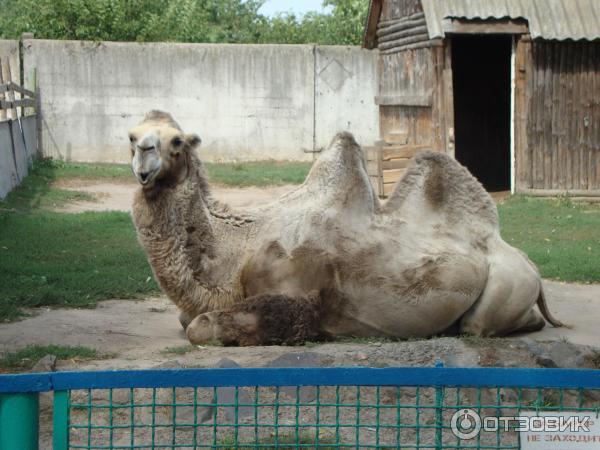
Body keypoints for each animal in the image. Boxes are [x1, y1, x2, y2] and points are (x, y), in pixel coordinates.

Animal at [127, 110, 564, 346]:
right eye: (131, 136)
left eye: (177, 141)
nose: (144, 155)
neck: (240, 246)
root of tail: (527, 261)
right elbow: (185, 319)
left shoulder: (298, 299)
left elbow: (199, 326)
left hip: (509, 283)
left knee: (481, 325)